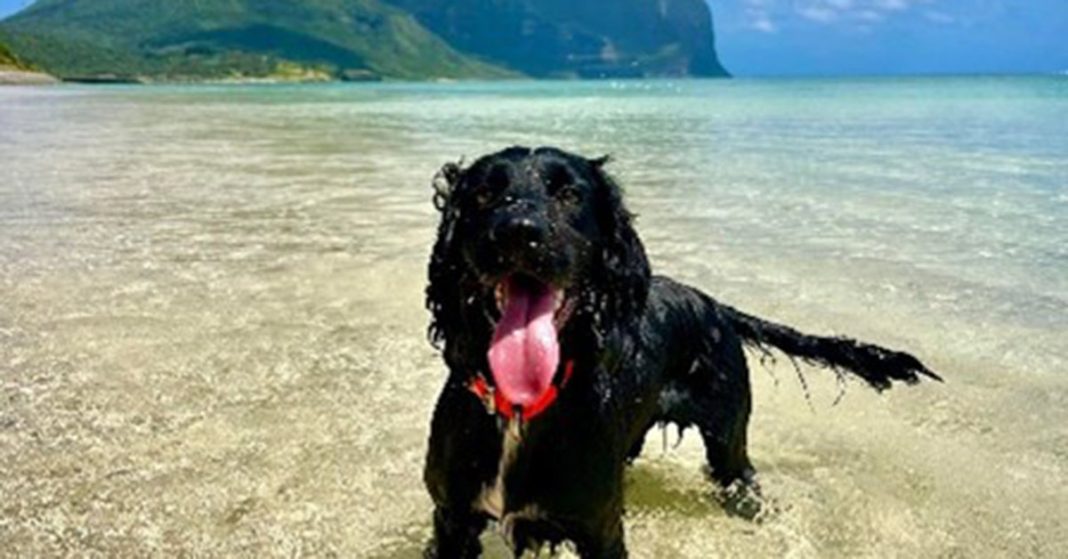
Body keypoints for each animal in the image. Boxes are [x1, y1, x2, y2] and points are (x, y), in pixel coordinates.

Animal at [420, 146, 939, 555]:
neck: (519, 408)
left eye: (569, 194)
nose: (517, 231)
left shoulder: (598, 527)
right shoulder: (452, 518)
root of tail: (714, 305)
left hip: (730, 440)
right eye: (483, 194)